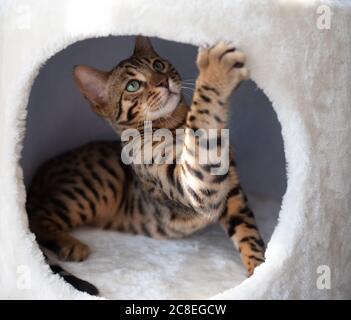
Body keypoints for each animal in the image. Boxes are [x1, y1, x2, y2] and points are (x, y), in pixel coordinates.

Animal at [26, 36, 264, 294]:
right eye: (132, 85)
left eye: (158, 65)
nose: (163, 81)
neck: (175, 125)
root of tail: (38, 174)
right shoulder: (192, 187)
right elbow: (201, 125)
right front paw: (215, 70)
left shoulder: (231, 192)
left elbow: (248, 233)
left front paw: (261, 271)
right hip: (95, 186)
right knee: (35, 221)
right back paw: (70, 245)